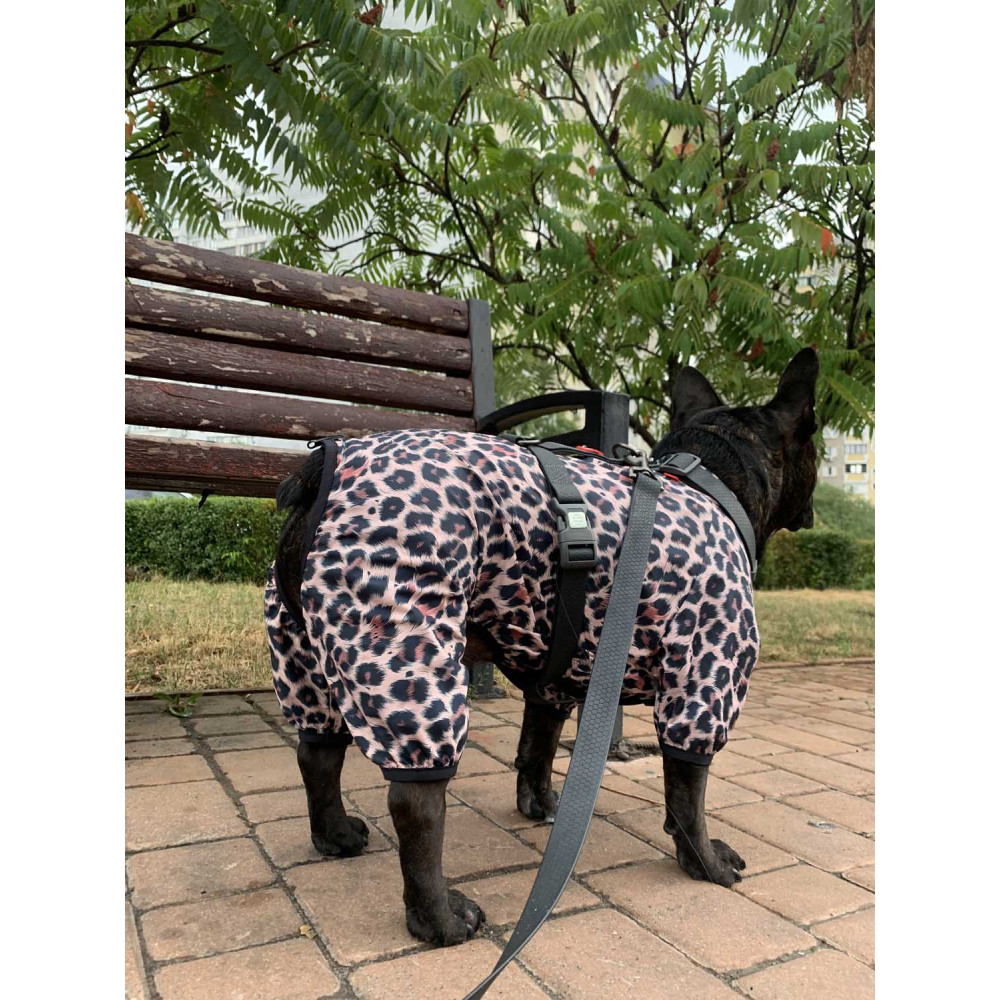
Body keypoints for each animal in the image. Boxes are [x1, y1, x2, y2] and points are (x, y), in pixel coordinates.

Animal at [265, 348, 819, 947]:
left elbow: (539, 746)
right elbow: (688, 790)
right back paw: (440, 919)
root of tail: (326, 467)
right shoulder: (704, 674)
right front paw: (705, 862)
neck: (709, 477)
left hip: (303, 649)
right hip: (407, 645)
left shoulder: (557, 674)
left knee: (318, 751)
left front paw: (542, 805)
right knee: (415, 801)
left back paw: (336, 836)